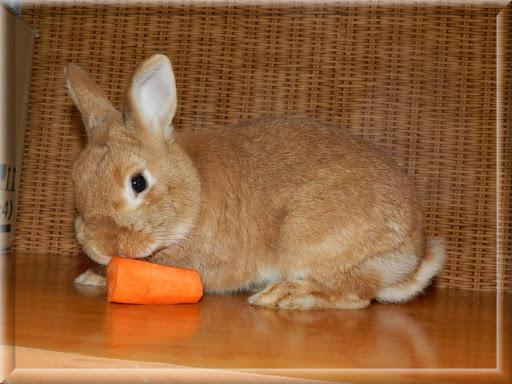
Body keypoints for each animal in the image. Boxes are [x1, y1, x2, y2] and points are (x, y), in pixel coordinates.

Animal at [65, 54, 444, 308]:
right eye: (77, 182)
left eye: (138, 183)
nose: (101, 247)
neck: (194, 190)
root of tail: (413, 257)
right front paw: (92, 276)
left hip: (307, 239)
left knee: (355, 295)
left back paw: (285, 296)